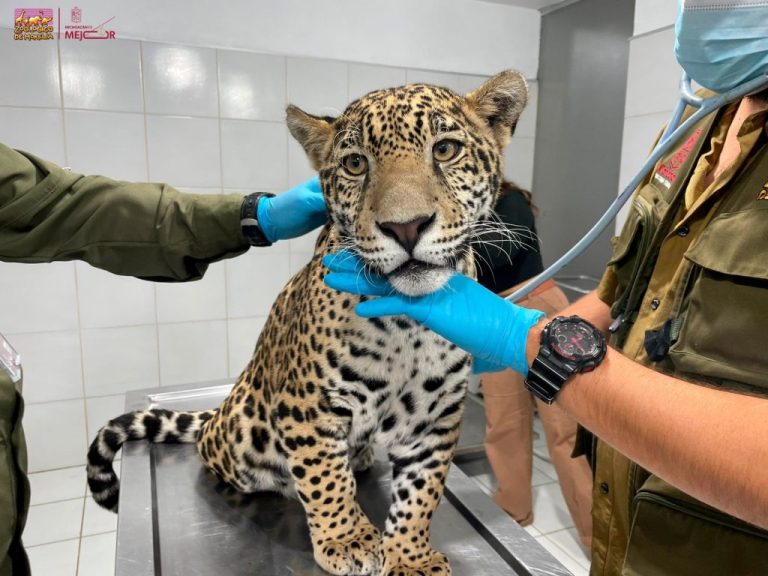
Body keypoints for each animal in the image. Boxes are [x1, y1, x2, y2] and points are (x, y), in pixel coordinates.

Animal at [86, 69, 528, 576]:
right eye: (356, 163)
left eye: (445, 149)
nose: (406, 227)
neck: (407, 323)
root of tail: (219, 414)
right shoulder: (308, 406)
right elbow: (325, 478)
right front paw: (348, 540)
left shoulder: (435, 419)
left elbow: (422, 492)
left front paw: (410, 556)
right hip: (243, 436)